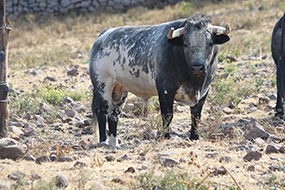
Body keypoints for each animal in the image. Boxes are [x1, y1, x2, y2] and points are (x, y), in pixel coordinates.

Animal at [87, 14, 230, 147]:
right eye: (186, 44)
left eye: (210, 43)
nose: (197, 68)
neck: (195, 83)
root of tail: (105, 33)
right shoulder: (166, 89)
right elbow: (167, 115)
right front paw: (166, 136)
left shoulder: (204, 91)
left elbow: (196, 116)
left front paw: (194, 137)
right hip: (103, 85)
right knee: (102, 112)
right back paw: (104, 141)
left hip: (120, 90)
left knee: (114, 116)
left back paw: (114, 144)